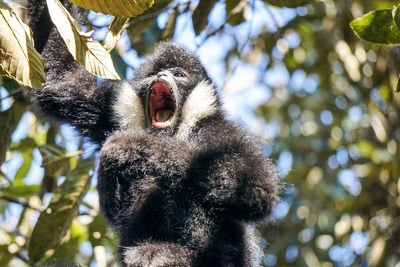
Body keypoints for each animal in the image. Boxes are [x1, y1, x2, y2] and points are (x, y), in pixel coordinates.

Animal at [28, 1, 280, 266]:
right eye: (154, 74)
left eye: (178, 74)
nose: (162, 76)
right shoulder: (108, 114)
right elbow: (60, 81)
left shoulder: (219, 130)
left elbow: (257, 187)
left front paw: (123, 148)